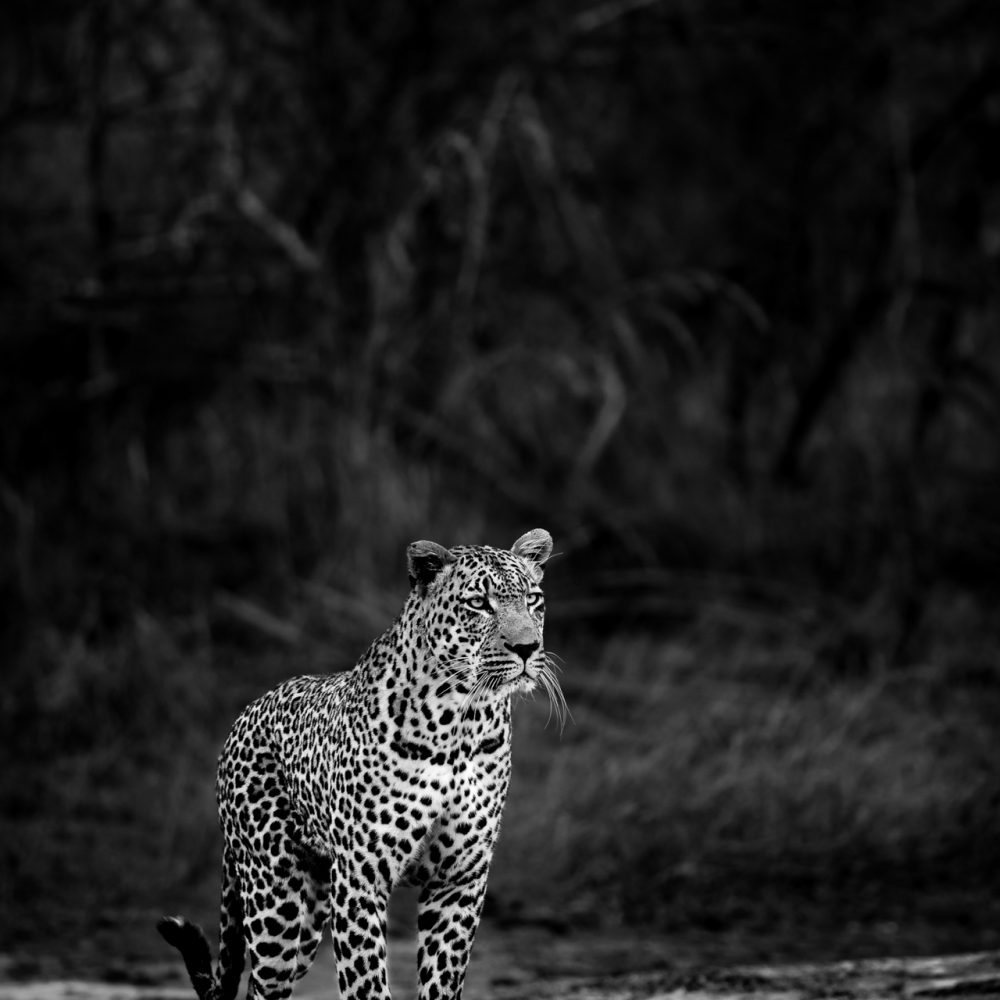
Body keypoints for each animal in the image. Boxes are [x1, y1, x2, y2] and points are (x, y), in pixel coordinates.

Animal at [158, 528, 563, 1000]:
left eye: (533, 599)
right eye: (479, 604)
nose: (527, 648)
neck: (460, 723)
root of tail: (246, 713)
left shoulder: (459, 881)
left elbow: (442, 981)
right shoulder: (360, 878)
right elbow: (367, 983)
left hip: (311, 914)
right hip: (274, 902)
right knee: (261, 983)